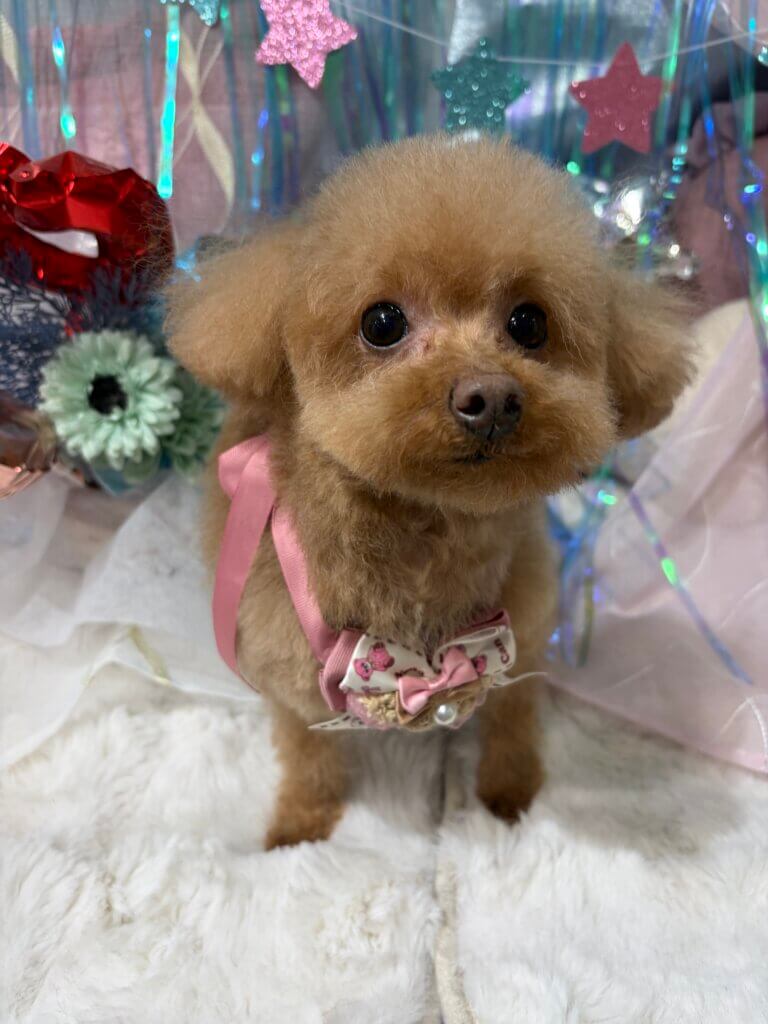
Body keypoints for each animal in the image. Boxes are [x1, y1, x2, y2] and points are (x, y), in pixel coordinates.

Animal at [167, 135, 691, 849]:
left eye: (529, 323)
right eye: (383, 322)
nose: (490, 397)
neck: (427, 534)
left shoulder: (520, 631)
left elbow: (513, 722)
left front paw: (510, 796)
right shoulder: (285, 663)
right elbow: (307, 752)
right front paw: (299, 826)